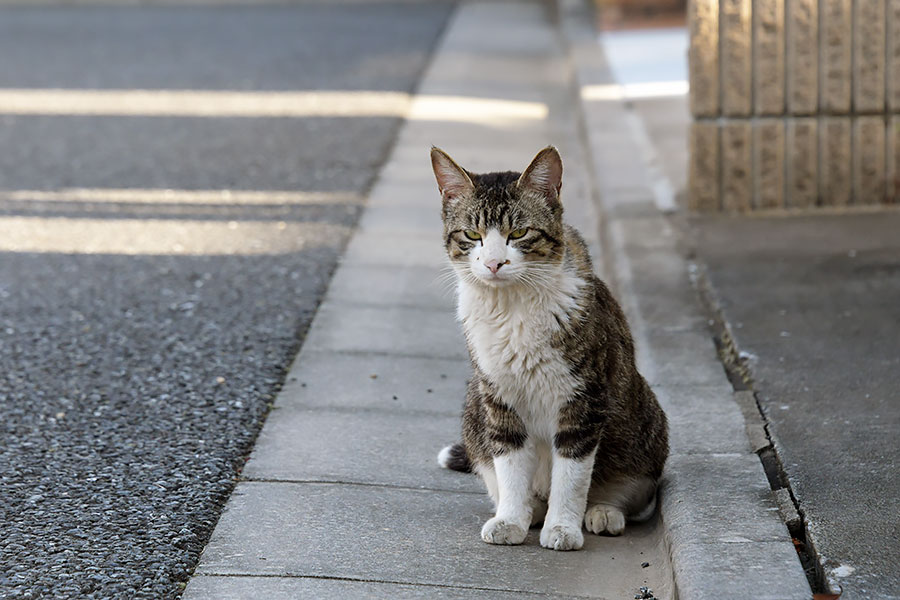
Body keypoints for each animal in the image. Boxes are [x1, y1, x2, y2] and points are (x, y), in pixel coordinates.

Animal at [428, 148, 668, 552]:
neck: (512, 308)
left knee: (627, 491)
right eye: (473, 234)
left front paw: (563, 528)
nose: (494, 263)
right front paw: (511, 520)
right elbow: (509, 464)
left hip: (643, 426)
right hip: (474, 411)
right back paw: (531, 510)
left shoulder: (584, 399)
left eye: (519, 233)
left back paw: (603, 512)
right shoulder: (498, 396)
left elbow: (571, 474)